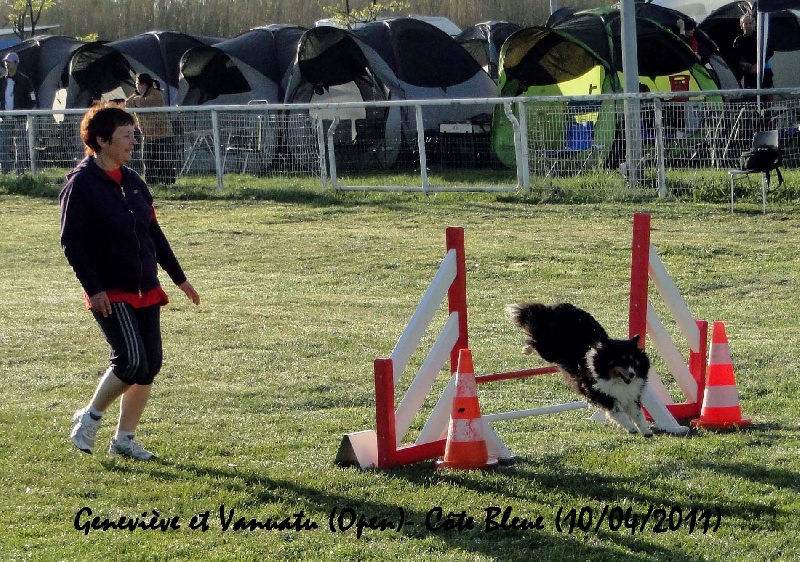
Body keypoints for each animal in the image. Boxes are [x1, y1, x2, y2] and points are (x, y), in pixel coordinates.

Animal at [510, 300, 652, 436]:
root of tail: (558, 306)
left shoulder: (631, 395)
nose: (632, 375)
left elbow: (638, 414)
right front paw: (631, 428)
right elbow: (619, 412)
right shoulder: (603, 395)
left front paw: (646, 431)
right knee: (532, 338)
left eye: (633, 359)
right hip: (547, 350)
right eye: (619, 360)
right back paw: (526, 349)